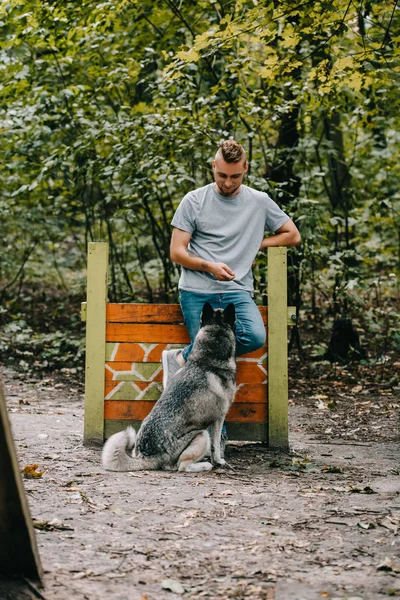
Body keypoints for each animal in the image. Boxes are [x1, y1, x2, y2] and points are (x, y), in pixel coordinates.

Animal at [101, 302, 236, 472]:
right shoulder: (219, 418)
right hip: (202, 434)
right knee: (182, 466)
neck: (207, 359)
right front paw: (219, 461)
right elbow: (215, 446)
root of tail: (146, 456)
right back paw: (205, 465)